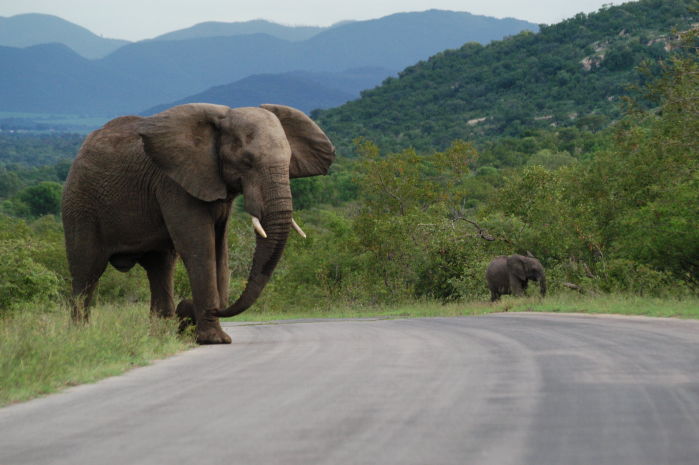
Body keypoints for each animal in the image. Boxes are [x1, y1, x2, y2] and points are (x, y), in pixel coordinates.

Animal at [61, 105, 334, 344]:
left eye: (289, 162)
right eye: (247, 162)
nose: (185, 310)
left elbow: (220, 251)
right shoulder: (175, 184)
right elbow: (198, 247)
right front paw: (214, 340)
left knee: (160, 268)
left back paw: (159, 336)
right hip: (80, 205)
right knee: (86, 272)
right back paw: (80, 337)